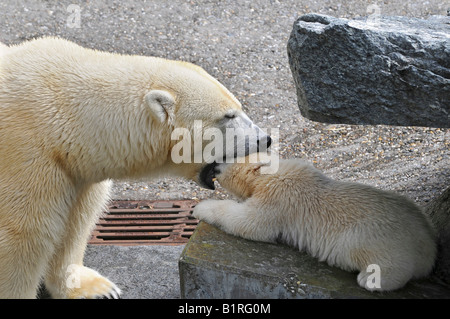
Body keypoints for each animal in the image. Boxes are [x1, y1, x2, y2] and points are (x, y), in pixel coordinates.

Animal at [0, 37, 268, 300]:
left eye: (239, 107)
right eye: (228, 115)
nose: (265, 139)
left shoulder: (74, 169)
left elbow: (76, 219)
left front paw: (98, 290)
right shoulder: (28, 156)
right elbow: (23, 235)